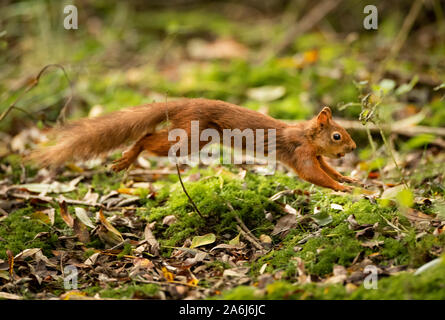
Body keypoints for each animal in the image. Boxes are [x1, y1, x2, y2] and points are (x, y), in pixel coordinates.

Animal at [30, 99, 358, 191]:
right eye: (337, 135)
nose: (354, 148)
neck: (307, 136)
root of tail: (183, 103)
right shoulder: (300, 153)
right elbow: (312, 175)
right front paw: (341, 188)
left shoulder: (316, 155)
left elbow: (325, 168)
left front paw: (346, 178)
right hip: (190, 136)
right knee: (147, 139)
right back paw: (127, 159)